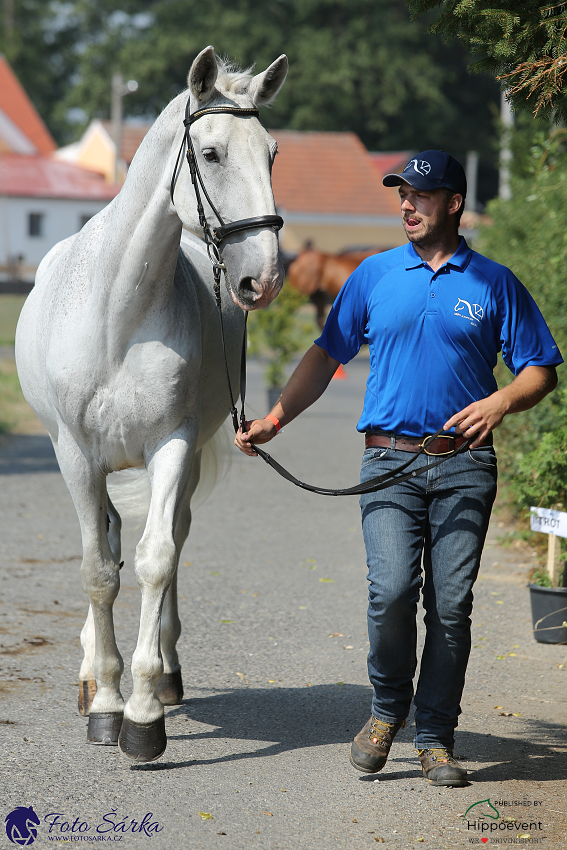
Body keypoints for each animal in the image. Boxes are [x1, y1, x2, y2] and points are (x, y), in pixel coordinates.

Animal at [14, 46, 288, 760]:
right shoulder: (76, 457)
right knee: (107, 543)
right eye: (212, 154)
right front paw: (105, 702)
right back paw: (92, 672)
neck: (118, 312)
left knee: (170, 539)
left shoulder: (173, 445)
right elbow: (97, 570)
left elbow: (157, 560)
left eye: (273, 153)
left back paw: (164, 673)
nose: (264, 277)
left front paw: (141, 713)